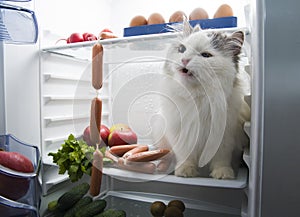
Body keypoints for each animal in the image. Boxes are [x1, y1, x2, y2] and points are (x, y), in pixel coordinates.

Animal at [154, 21, 250, 179]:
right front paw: (185, 172)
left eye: (205, 55)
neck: (198, 97)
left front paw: (222, 174)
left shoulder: (224, 137)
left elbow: (221, 159)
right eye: (182, 49)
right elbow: (186, 156)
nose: (184, 60)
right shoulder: (183, 135)